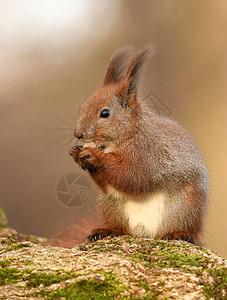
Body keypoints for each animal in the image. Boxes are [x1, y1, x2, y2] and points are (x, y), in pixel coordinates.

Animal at [69, 46, 209, 244]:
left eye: (105, 113)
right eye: (82, 107)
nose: (78, 134)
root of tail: (144, 233)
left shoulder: (148, 151)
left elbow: (134, 176)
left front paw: (94, 156)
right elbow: (111, 183)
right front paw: (77, 153)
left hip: (184, 207)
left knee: (185, 229)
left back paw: (179, 234)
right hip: (112, 206)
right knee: (123, 228)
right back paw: (107, 231)